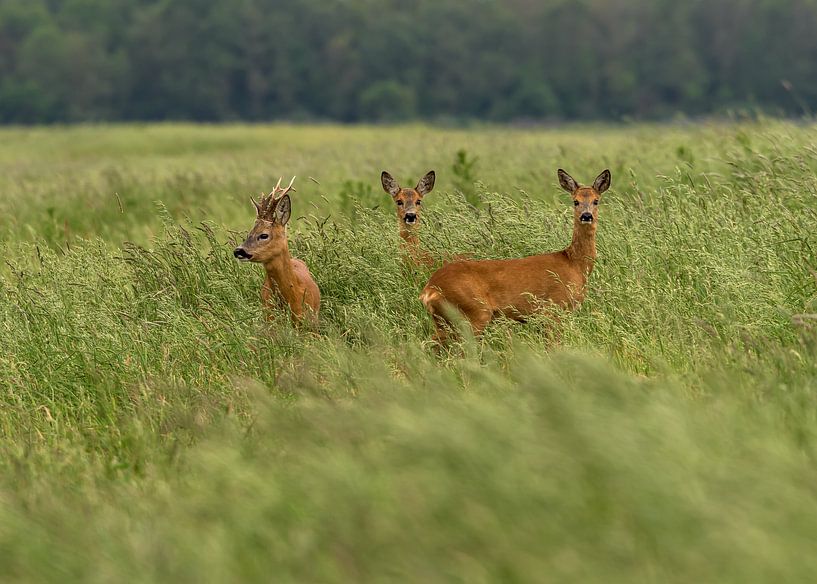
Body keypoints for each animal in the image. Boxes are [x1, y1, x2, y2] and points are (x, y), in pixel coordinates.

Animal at [419, 169, 611, 344]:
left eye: (596, 200)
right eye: (575, 201)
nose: (586, 216)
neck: (575, 264)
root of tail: (428, 290)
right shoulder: (553, 308)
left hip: (444, 321)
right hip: (474, 312)